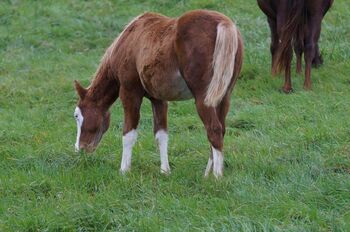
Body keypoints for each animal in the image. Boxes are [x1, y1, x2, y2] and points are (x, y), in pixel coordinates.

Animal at [73, 9, 243, 178]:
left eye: (77, 116)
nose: (79, 148)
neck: (128, 40)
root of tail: (223, 23)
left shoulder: (130, 92)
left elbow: (129, 133)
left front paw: (124, 171)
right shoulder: (158, 99)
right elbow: (161, 134)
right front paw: (164, 170)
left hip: (203, 98)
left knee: (214, 129)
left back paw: (217, 176)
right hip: (224, 97)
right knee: (221, 129)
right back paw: (208, 173)